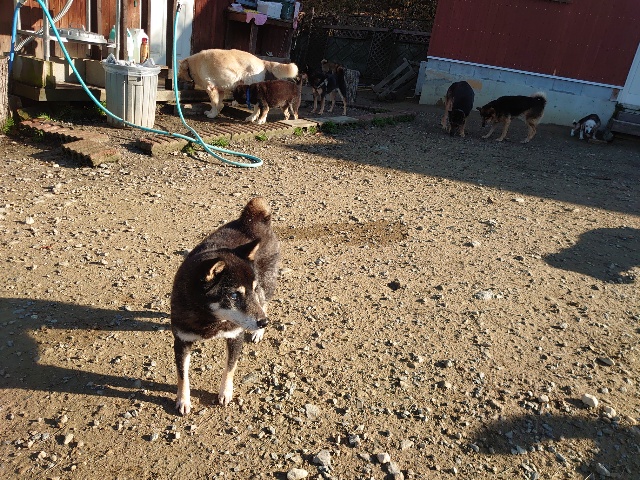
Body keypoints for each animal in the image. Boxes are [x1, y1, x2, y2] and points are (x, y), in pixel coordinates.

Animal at [170, 197, 280, 415]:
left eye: (251, 289)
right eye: (233, 295)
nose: (264, 322)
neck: (210, 319)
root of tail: (252, 219)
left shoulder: (235, 335)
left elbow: (230, 367)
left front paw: (225, 392)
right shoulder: (181, 341)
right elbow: (182, 375)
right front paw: (183, 400)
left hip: (267, 284)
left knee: (265, 303)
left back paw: (258, 332)